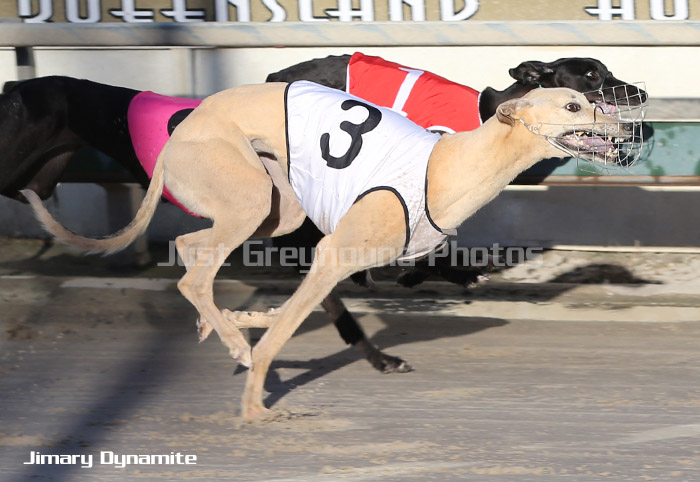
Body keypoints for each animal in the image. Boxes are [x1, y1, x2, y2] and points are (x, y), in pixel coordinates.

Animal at [0, 54, 646, 375]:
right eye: (590, 78)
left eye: (606, 74)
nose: (638, 95)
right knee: (203, 269)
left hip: (269, 210)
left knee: (193, 252)